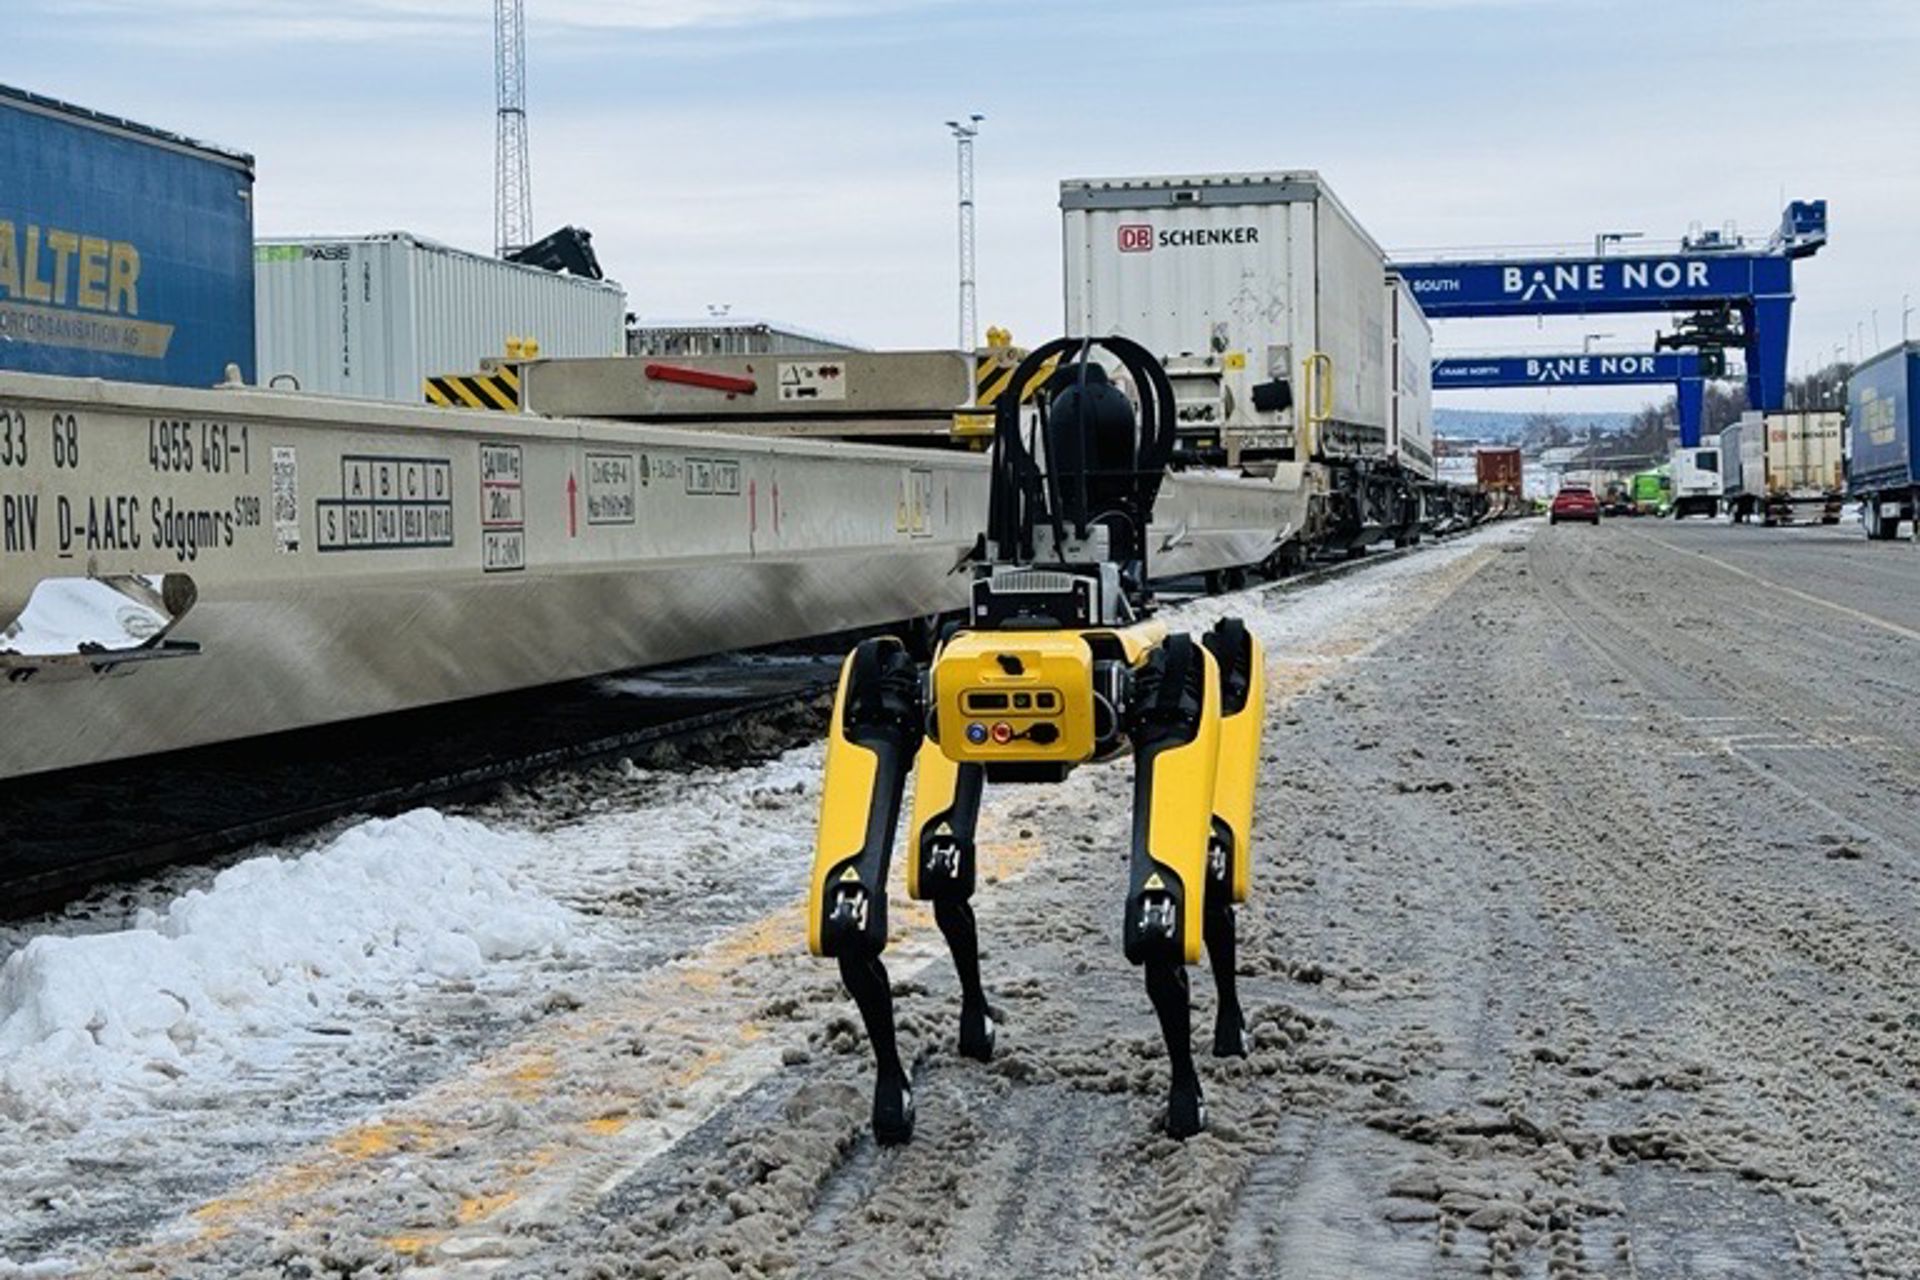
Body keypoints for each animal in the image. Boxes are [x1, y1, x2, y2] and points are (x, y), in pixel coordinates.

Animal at [806, 335, 1267, 1143]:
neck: (1048, 598)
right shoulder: (904, 684)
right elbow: (856, 903)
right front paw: (895, 1094)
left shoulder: (1169, 681)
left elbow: (1163, 910)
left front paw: (1187, 1097)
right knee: (940, 862)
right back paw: (975, 1026)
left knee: (1213, 851)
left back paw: (1228, 1034)